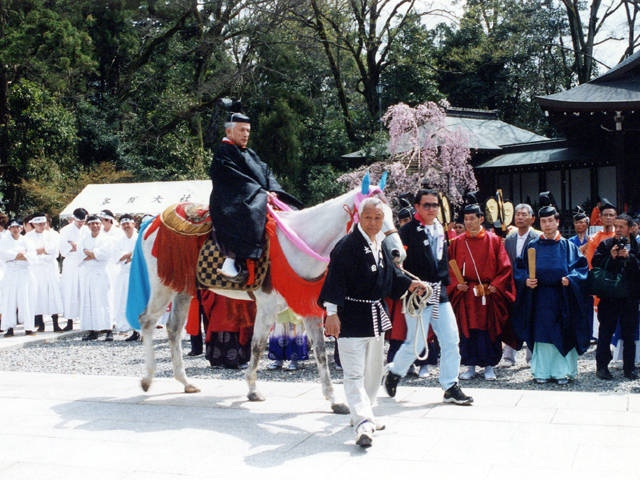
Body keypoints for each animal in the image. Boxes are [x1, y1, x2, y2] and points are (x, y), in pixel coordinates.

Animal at [132, 174, 406, 414]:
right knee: (147, 321)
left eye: (390, 213)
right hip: (162, 285)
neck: (299, 244)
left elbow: (320, 353)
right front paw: (253, 390)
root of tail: (152, 222)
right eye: (374, 216)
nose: (397, 253)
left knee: (173, 329)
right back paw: (147, 378)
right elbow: (257, 346)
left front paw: (334, 400)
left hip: (182, 287)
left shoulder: (310, 308)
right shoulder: (266, 307)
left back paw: (185, 382)